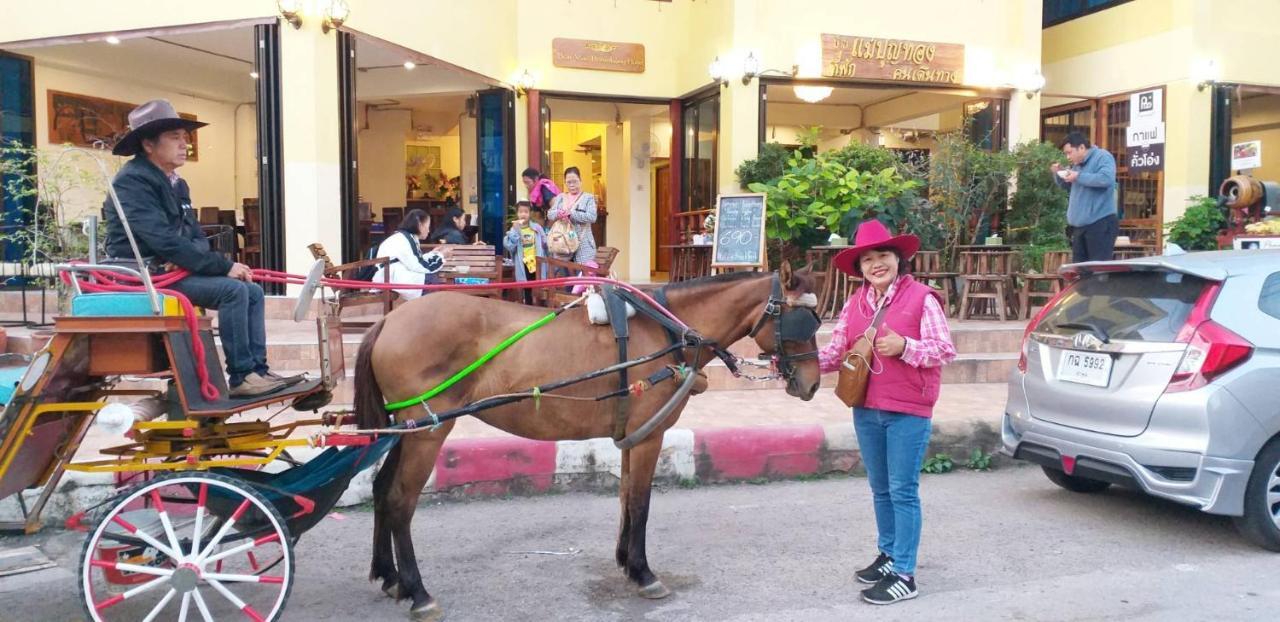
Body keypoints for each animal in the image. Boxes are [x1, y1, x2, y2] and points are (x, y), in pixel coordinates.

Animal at [355, 266, 824, 616]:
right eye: (800, 322)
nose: (813, 384)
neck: (669, 332)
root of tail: (389, 320)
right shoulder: (650, 435)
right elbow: (641, 502)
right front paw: (644, 573)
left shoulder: (633, 433)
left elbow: (626, 497)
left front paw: (626, 563)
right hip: (428, 430)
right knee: (400, 500)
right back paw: (417, 591)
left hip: (405, 430)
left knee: (381, 489)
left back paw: (389, 577)